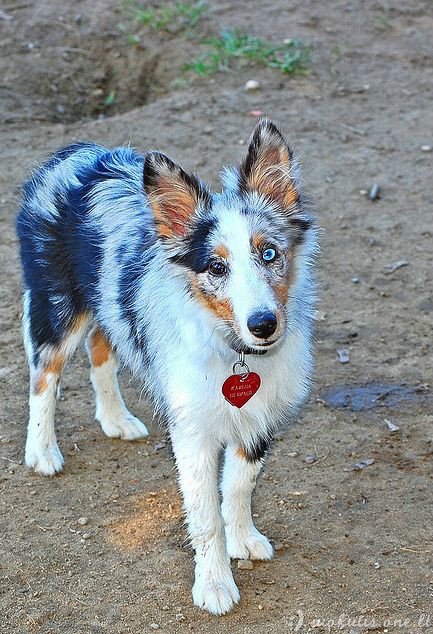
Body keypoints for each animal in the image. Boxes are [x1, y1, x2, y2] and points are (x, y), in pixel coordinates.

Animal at [16, 119, 318, 612]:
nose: (263, 324)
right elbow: (205, 513)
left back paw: (116, 419)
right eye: (216, 267)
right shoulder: (191, 429)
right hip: (56, 303)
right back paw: (42, 451)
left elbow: (239, 485)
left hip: (109, 305)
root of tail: (73, 153)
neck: (233, 351)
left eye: (270, 253)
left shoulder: (259, 414)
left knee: (100, 347)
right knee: (45, 375)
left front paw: (243, 539)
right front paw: (214, 585)